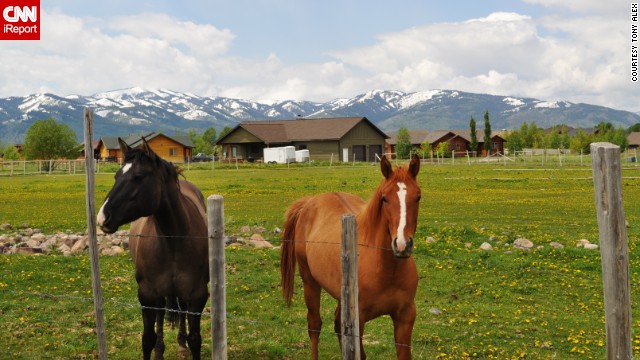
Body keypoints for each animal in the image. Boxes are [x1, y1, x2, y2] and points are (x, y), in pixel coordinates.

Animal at [96, 138, 209, 360]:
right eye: (116, 176)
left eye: (138, 177)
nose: (102, 217)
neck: (173, 242)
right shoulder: (147, 294)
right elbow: (147, 338)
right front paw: (156, 348)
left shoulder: (198, 296)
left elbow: (195, 339)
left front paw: (186, 344)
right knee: (161, 313)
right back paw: (160, 350)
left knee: (180, 310)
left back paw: (180, 345)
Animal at [280, 153, 420, 358]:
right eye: (384, 198)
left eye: (418, 197)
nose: (402, 245)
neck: (385, 269)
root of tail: (309, 202)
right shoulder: (358, 320)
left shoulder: (405, 316)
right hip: (309, 283)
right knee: (314, 325)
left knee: (338, 325)